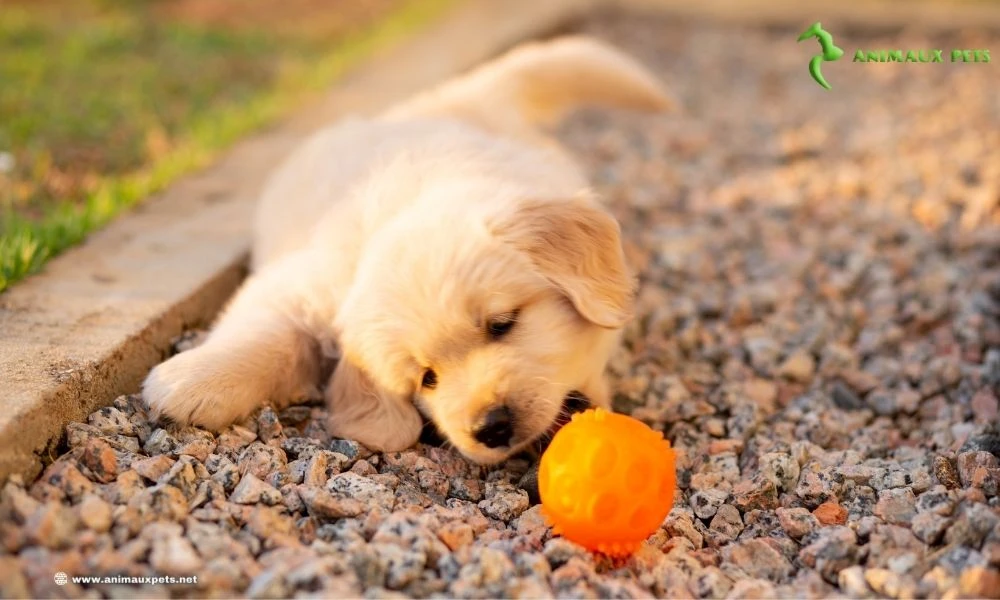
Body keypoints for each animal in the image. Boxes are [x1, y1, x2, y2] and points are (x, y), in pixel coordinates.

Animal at [143, 35, 672, 464]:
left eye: (502, 325)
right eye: (426, 378)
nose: (491, 426)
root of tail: (446, 101)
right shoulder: (301, 283)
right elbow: (266, 331)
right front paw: (194, 380)